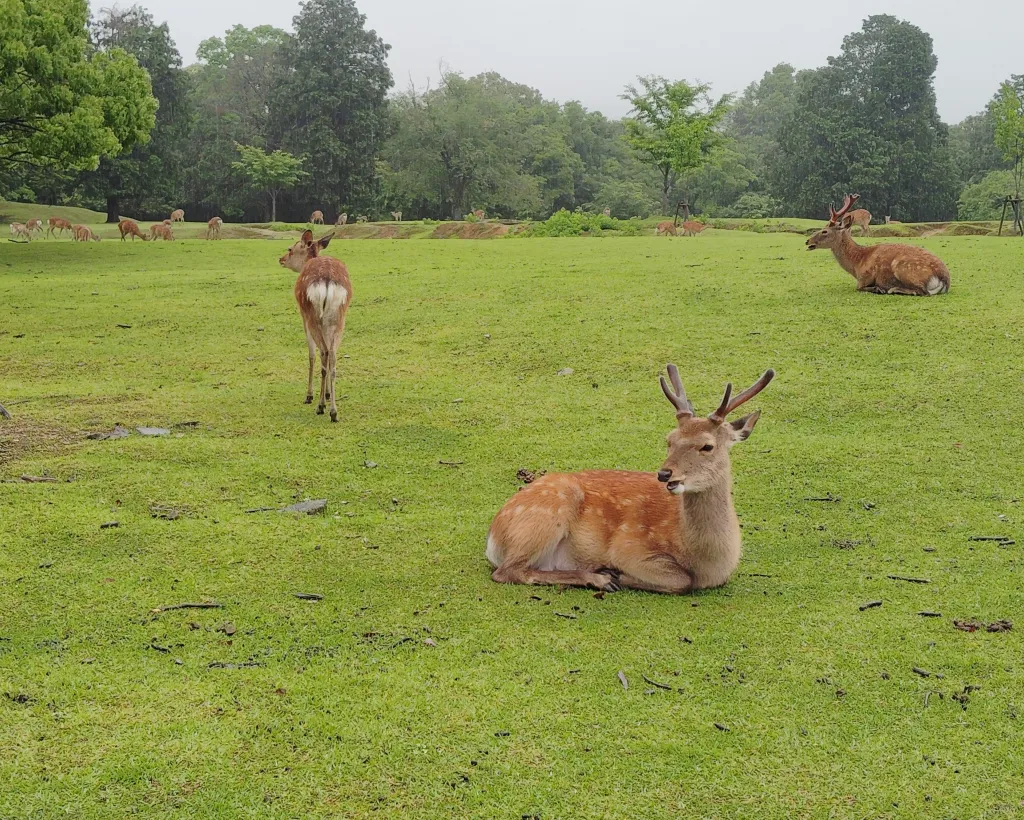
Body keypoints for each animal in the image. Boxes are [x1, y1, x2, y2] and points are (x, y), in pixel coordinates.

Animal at [279, 230, 352, 423]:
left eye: (290, 249)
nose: (281, 259)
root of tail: (326, 282)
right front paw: (326, 393)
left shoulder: (303, 316)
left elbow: (311, 354)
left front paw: (309, 395)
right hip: (338, 318)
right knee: (332, 356)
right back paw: (333, 410)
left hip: (313, 316)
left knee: (323, 352)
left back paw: (321, 407)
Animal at [486, 365, 774, 594]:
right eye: (669, 440)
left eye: (707, 446)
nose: (665, 473)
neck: (711, 563)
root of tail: (493, 538)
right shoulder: (630, 548)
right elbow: (681, 580)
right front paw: (616, 574)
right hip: (547, 514)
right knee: (509, 571)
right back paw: (600, 579)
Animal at [806, 195, 949, 296]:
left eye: (825, 231)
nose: (807, 241)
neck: (857, 264)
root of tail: (944, 279)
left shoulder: (865, 277)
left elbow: (859, 287)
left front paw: (878, 288)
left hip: (903, 267)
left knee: (923, 291)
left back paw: (892, 289)